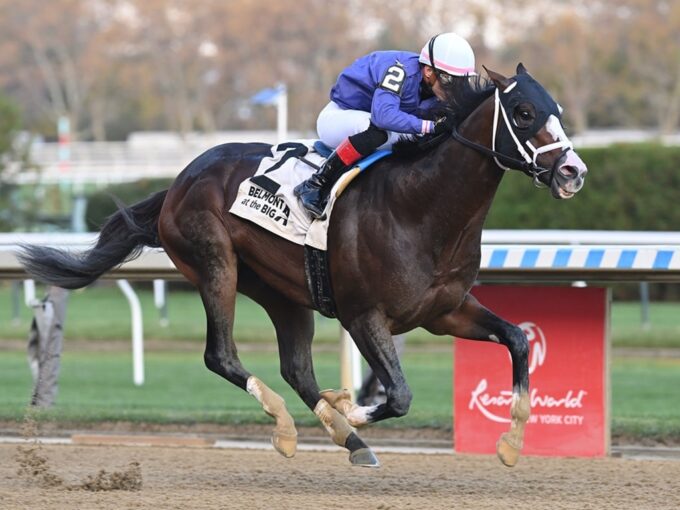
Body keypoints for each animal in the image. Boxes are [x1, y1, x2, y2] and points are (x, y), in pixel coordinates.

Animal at [18, 65, 588, 468]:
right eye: (522, 111)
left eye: (556, 109)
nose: (573, 172)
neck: (421, 205)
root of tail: (179, 181)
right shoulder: (363, 315)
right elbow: (400, 394)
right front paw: (349, 404)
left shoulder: (444, 311)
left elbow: (516, 339)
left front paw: (511, 443)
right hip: (215, 265)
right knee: (221, 355)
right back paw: (296, 426)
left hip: (283, 291)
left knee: (295, 366)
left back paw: (348, 438)